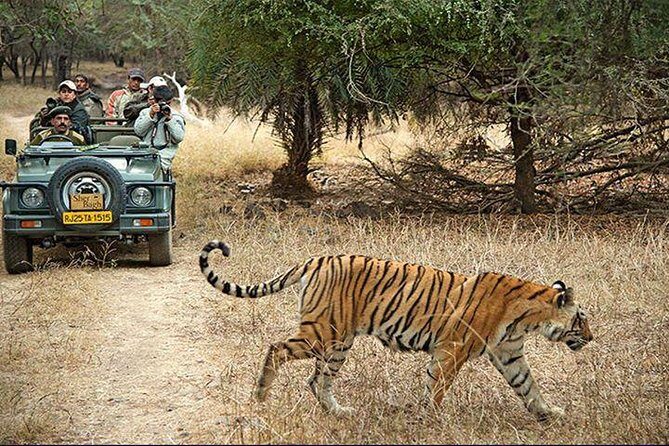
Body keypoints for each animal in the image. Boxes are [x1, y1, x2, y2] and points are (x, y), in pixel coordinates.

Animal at [199, 240, 593, 420]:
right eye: (582, 318)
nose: (591, 338)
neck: (528, 316)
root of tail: (316, 259)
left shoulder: (508, 353)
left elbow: (528, 384)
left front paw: (548, 413)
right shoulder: (452, 349)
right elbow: (438, 387)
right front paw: (433, 418)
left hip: (339, 342)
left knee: (316, 380)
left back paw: (338, 411)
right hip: (321, 333)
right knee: (277, 348)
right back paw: (261, 395)